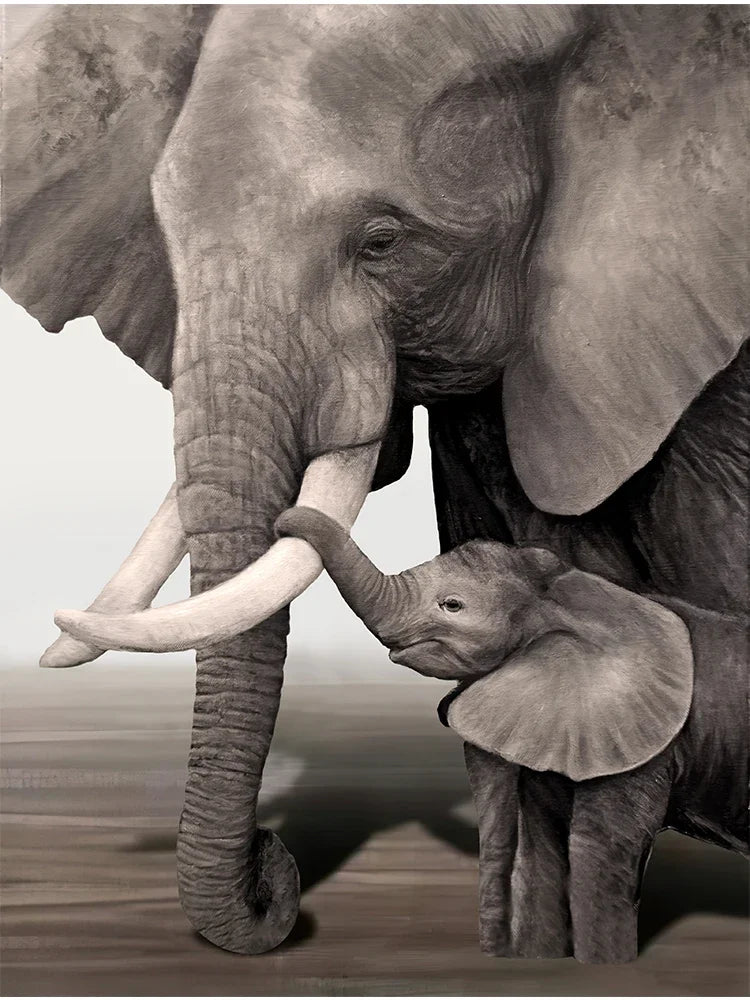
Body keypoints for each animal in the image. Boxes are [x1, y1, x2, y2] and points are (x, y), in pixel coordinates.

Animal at [275, 505, 749, 962]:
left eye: (452, 605)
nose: (283, 522)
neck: (574, 595)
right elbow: (541, 846)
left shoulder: (645, 741)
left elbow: (597, 850)